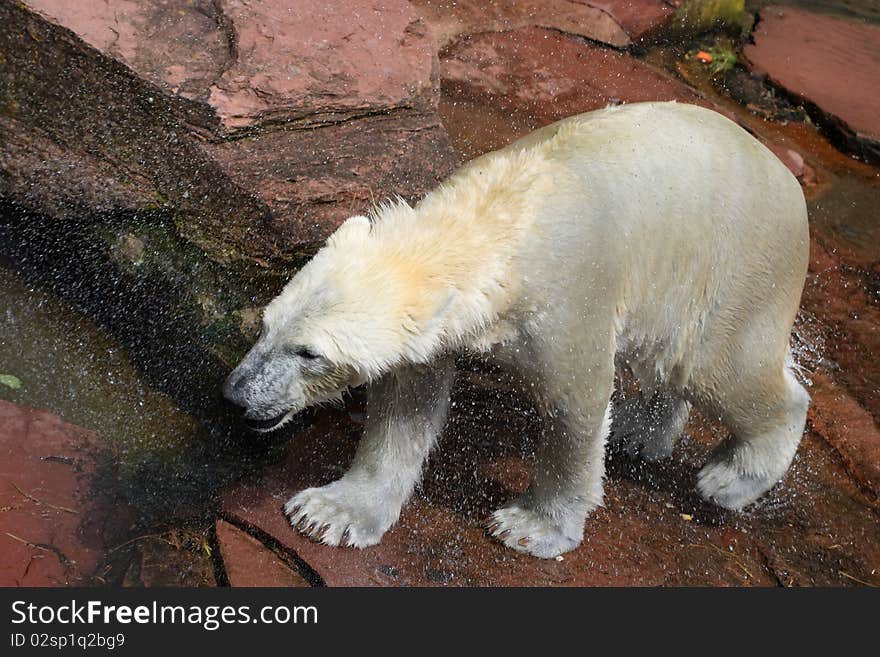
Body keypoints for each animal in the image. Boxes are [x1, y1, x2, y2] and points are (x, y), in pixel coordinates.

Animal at [223, 100, 808, 556]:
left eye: (309, 353)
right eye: (267, 324)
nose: (237, 393)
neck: (499, 218)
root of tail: (788, 182)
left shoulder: (570, 298)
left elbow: (577, 407)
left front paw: (531, 528)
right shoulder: (438, 331)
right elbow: (406, 408)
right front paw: (333, 511)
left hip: (735, 266)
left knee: (719, 368)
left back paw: (731, 477)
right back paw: (641, 434)